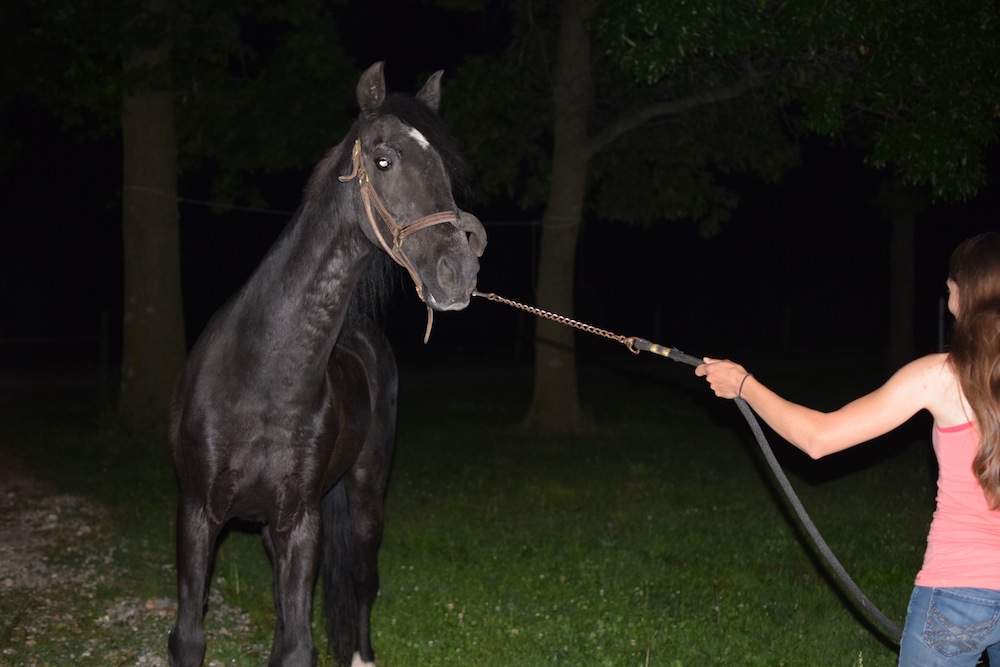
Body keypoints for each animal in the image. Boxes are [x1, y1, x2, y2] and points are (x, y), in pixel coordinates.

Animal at [169, 62, 488, 667]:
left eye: (441, 167)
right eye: (383, 160)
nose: (458, 273)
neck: (260, 379)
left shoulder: (301, 522)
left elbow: (299, 645)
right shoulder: (198, 516)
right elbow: (191, 637)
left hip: (364, 494)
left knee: (361, 580)